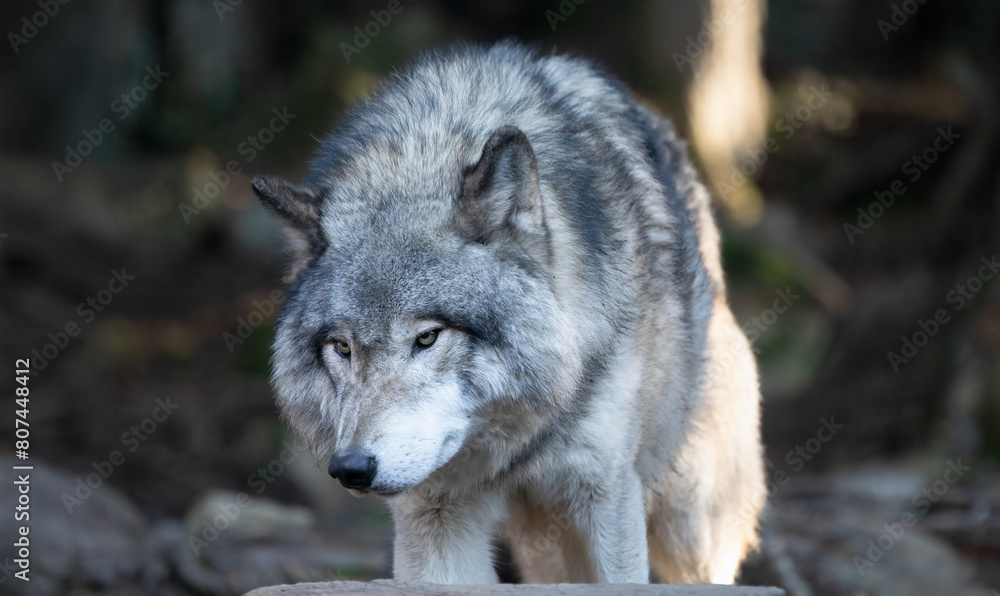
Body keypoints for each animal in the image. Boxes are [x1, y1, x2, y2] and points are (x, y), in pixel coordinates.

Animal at [252, 42, 764, 585]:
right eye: (342, 347)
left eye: (428, 337)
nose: (351, 468)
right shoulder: (434, 517)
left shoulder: (605, 494)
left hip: (691, 522)